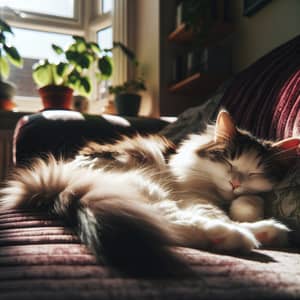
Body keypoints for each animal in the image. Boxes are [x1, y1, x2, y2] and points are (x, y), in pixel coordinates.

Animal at [1, 110, 298, 270]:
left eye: (255, 173)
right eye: (228, 162)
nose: (234, 182)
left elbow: (249, 200)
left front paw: (246, 207)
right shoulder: (193, 196)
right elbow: (218, 212)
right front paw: (239, 219)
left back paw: (266, 232)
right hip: (143, 186)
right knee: (168, 221)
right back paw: (240, 235)